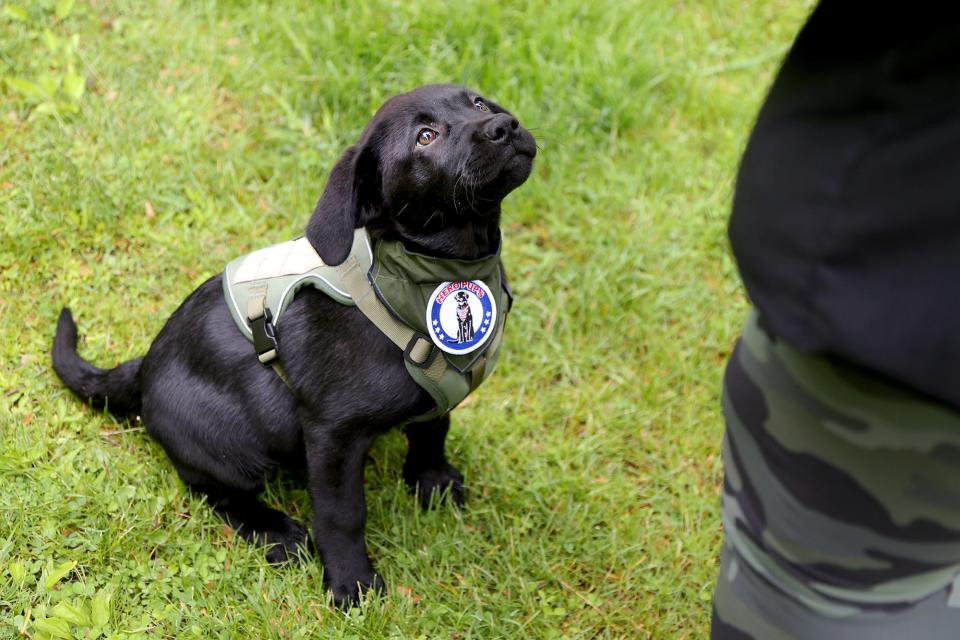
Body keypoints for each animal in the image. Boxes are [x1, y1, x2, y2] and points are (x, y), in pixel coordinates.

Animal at [52, 84, 536, 604]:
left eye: (479, 104)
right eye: (425, 136)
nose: (505, 126)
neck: (419, 274)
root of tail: (142, 367)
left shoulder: (433, 393)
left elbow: (432, 429)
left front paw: (432, 482)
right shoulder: (332, 432)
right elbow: (342, 513)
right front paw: (351, 584)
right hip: (227, 446)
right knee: (213, 491)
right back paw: (275, 530)